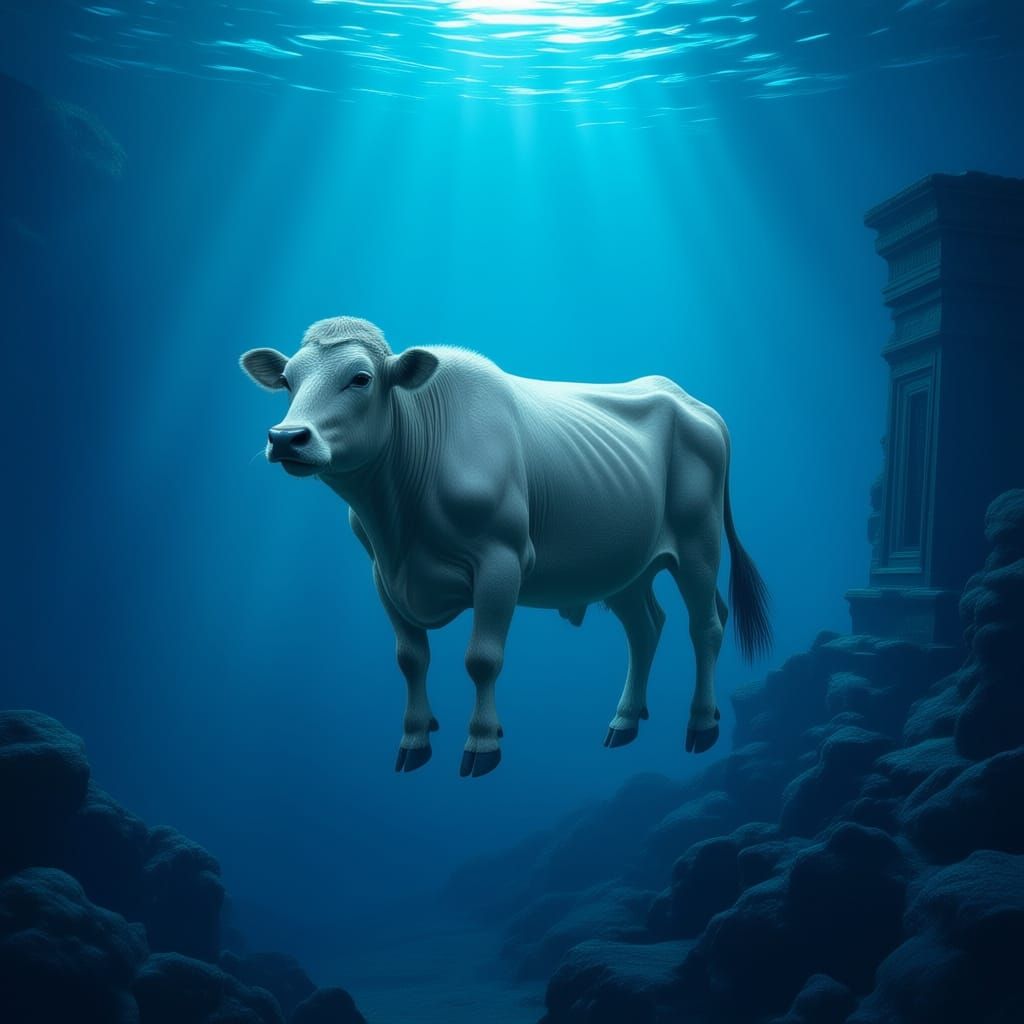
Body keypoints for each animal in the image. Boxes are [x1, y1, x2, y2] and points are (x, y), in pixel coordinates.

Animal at [241, 316, 771, 777]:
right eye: (287, 380)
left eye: (361, 378)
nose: (286, 437)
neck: (399, 526)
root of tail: (691, 401)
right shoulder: (383, 575)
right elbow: (410, 658)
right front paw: (414, 739)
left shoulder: (501, 560)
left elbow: (482, 658)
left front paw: (482, 742)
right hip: (622, 562)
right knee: (645, 628)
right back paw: (624, 720)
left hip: (699, 542)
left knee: (705, 626)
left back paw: (701, 722)